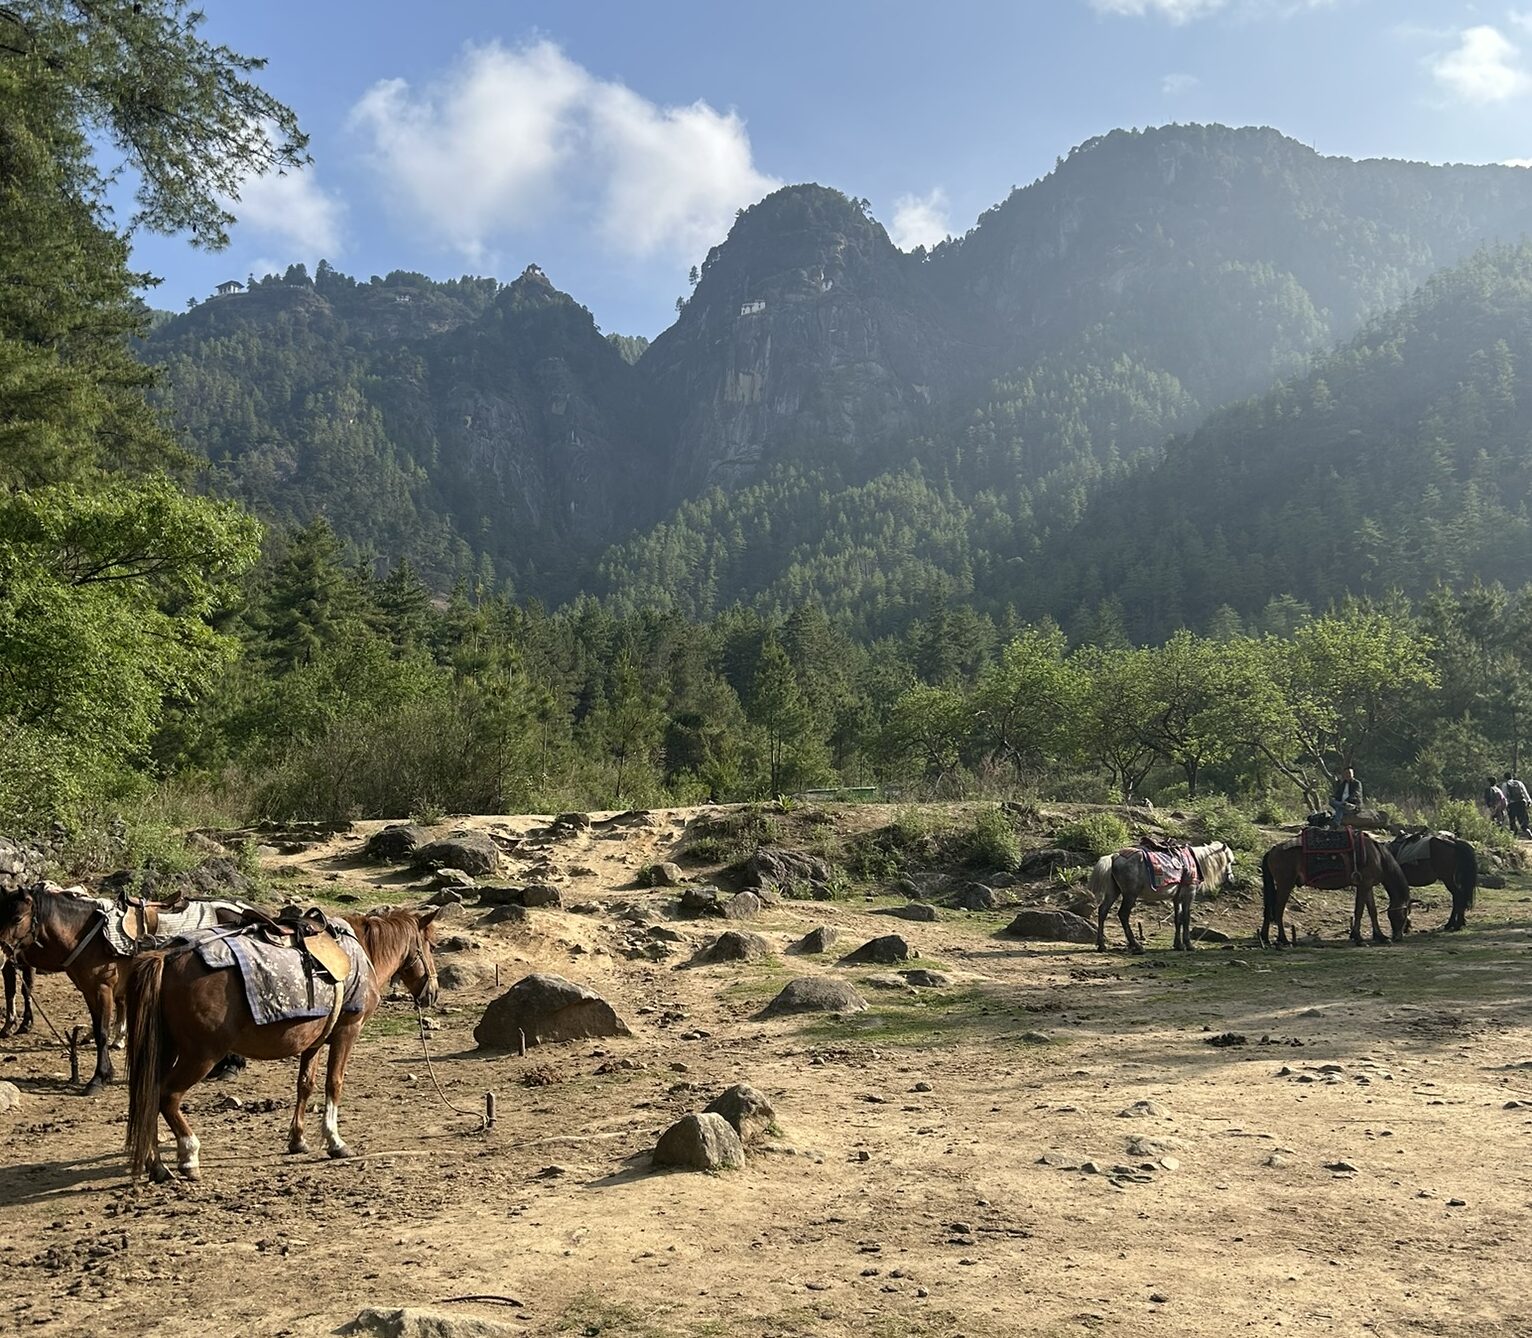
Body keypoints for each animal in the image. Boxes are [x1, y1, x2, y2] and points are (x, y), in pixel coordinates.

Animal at [126, 907, 441, 1177]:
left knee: (149, 1094)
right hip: (201, 1056)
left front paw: (298, 1140)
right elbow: (334, 1083)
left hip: (167, 1049)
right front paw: (335, 1142)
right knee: (168, 1097)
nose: (433, 993)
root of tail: (166, 957)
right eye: (431, 946)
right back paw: (189, 1156)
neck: (360, 953)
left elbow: (305, 1085)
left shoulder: (314, 1041)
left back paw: (156, 1166)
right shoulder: (347, 1031)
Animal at [1084, 846, 1237, 950]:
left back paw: (1102, 945)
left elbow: (1178, 919)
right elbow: (1186, 918)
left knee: (1103, 911)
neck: (1195, 861)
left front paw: (1178, 944)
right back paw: (1136, 945)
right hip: (1130, 895)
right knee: (1123, 914)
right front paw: (1188, 944)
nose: (1231, 880)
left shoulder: (1177, 898)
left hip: (1114, 891)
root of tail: (1114, 856)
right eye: (1229, 860)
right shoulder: (1189, 894)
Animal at [1256, 827, 1409, 944]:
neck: (1378, 856)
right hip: (1285, 884)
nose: (1398, 937)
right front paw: (1358, 938)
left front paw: (1380, 936)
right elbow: (1359, 911)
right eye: (1404, 915)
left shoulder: (1368, 886)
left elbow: (1373, 911)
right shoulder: (1364, 885)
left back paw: (1265, 938)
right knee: (1278, 909)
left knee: (1269, 908)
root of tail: (1272, 850)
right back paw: (1284, 939)